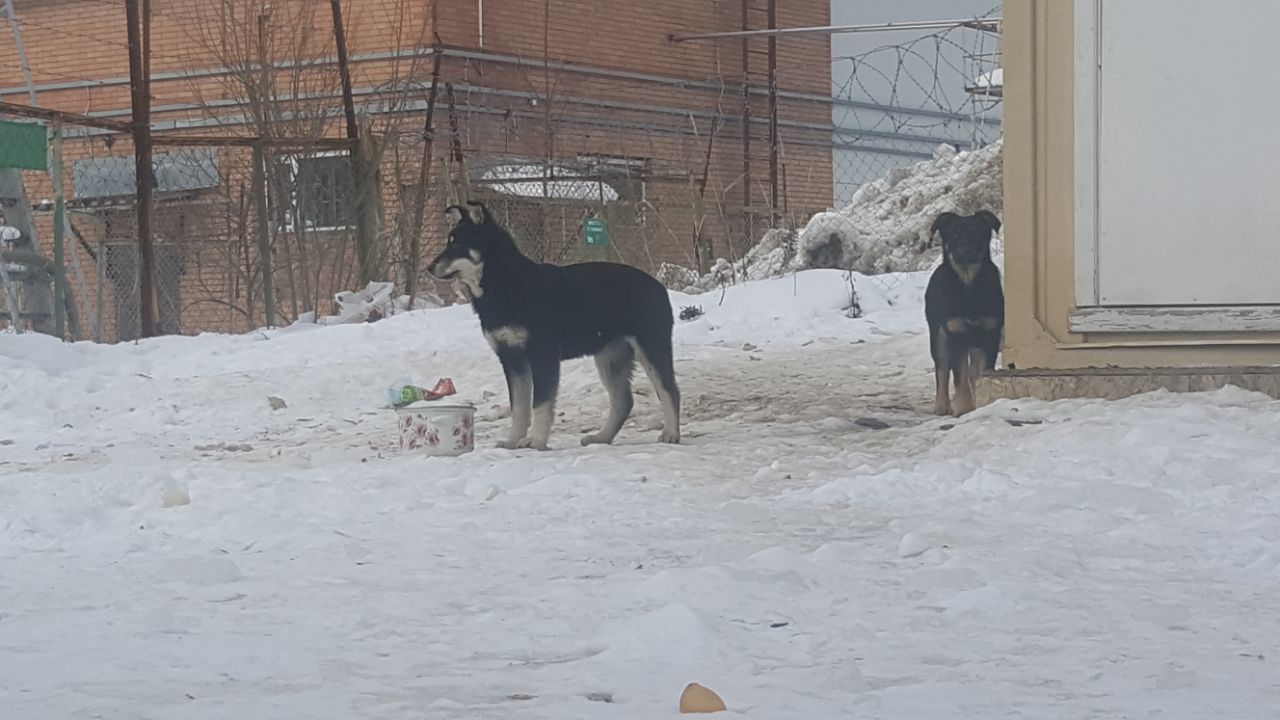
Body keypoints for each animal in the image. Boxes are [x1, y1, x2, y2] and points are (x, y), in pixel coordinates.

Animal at [424, 202, 680, 448]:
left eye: (457, 244)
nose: (428, 268)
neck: (505, 282)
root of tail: (660, 287)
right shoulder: (511, 359)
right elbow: (519, 407)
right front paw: (512, 442)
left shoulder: (542, 354)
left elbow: (540, 403)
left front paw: (536, 441)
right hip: (610, 357)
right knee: (623, 401)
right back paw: (601, 438)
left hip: (651, 347)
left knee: (669, 391)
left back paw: (671, 434)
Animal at [926, 208, 1003, 415]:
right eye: (955, 234)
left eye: (976, 232)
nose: (966, 251)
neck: (969, 286)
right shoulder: (956, 333)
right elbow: (959, 375)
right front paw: (963, 408)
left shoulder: (991, 334)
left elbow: (981, 374)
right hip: (938, 335)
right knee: (942, 370)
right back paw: (942, 406)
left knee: (972, 371)